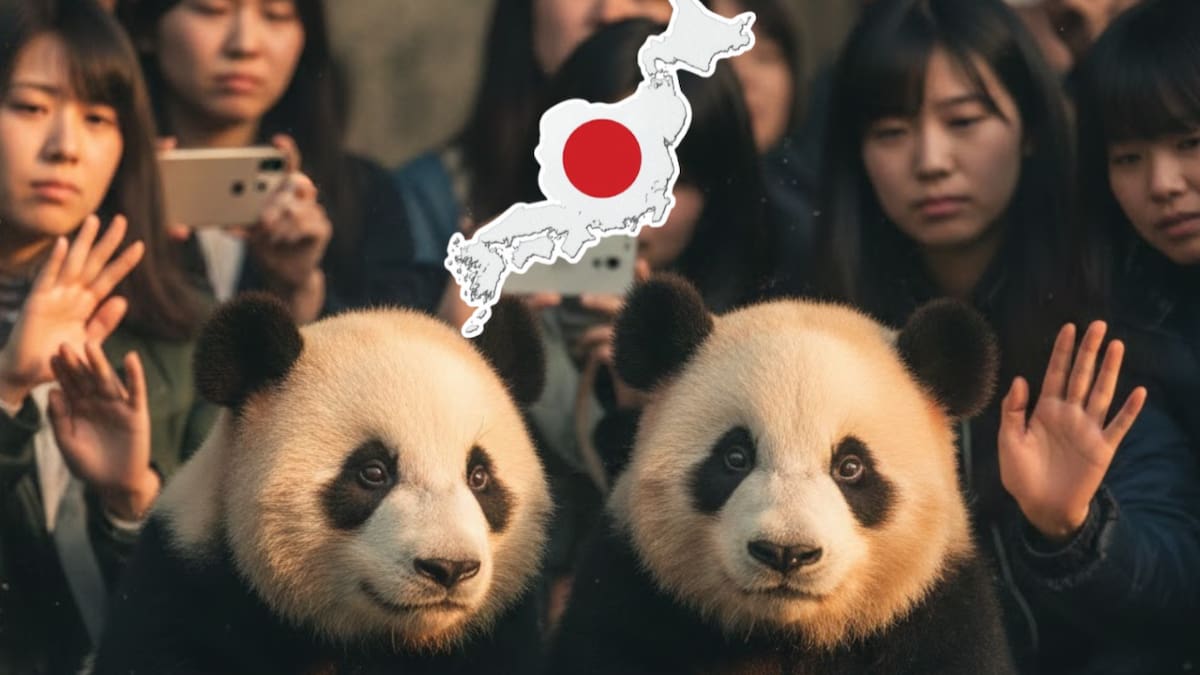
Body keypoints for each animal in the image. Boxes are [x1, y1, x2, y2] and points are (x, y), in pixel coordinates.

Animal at [548, 276, 1016, 674]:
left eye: (850, 467)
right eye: (735, 457)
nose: (786, 552)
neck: (784, 634)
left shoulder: (938, 616)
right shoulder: (630, 597)